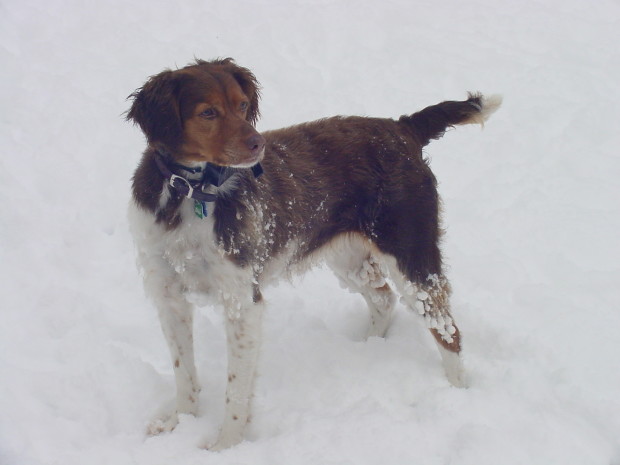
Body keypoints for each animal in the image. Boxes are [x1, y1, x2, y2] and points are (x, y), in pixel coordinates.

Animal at [124, 58, 498, 450]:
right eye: (207, 112)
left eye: (242, 105)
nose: (257, 145)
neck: (189, 193)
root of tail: (402, 127)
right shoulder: (168, 295)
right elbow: (183, 371)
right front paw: (178, 423)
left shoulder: (241, 299)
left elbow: (236, 389)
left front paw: (225, 445)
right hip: (347, 256)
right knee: (383, 298)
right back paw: (368, 347)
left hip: (411, 254)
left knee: (447, 329)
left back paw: (458, 393)